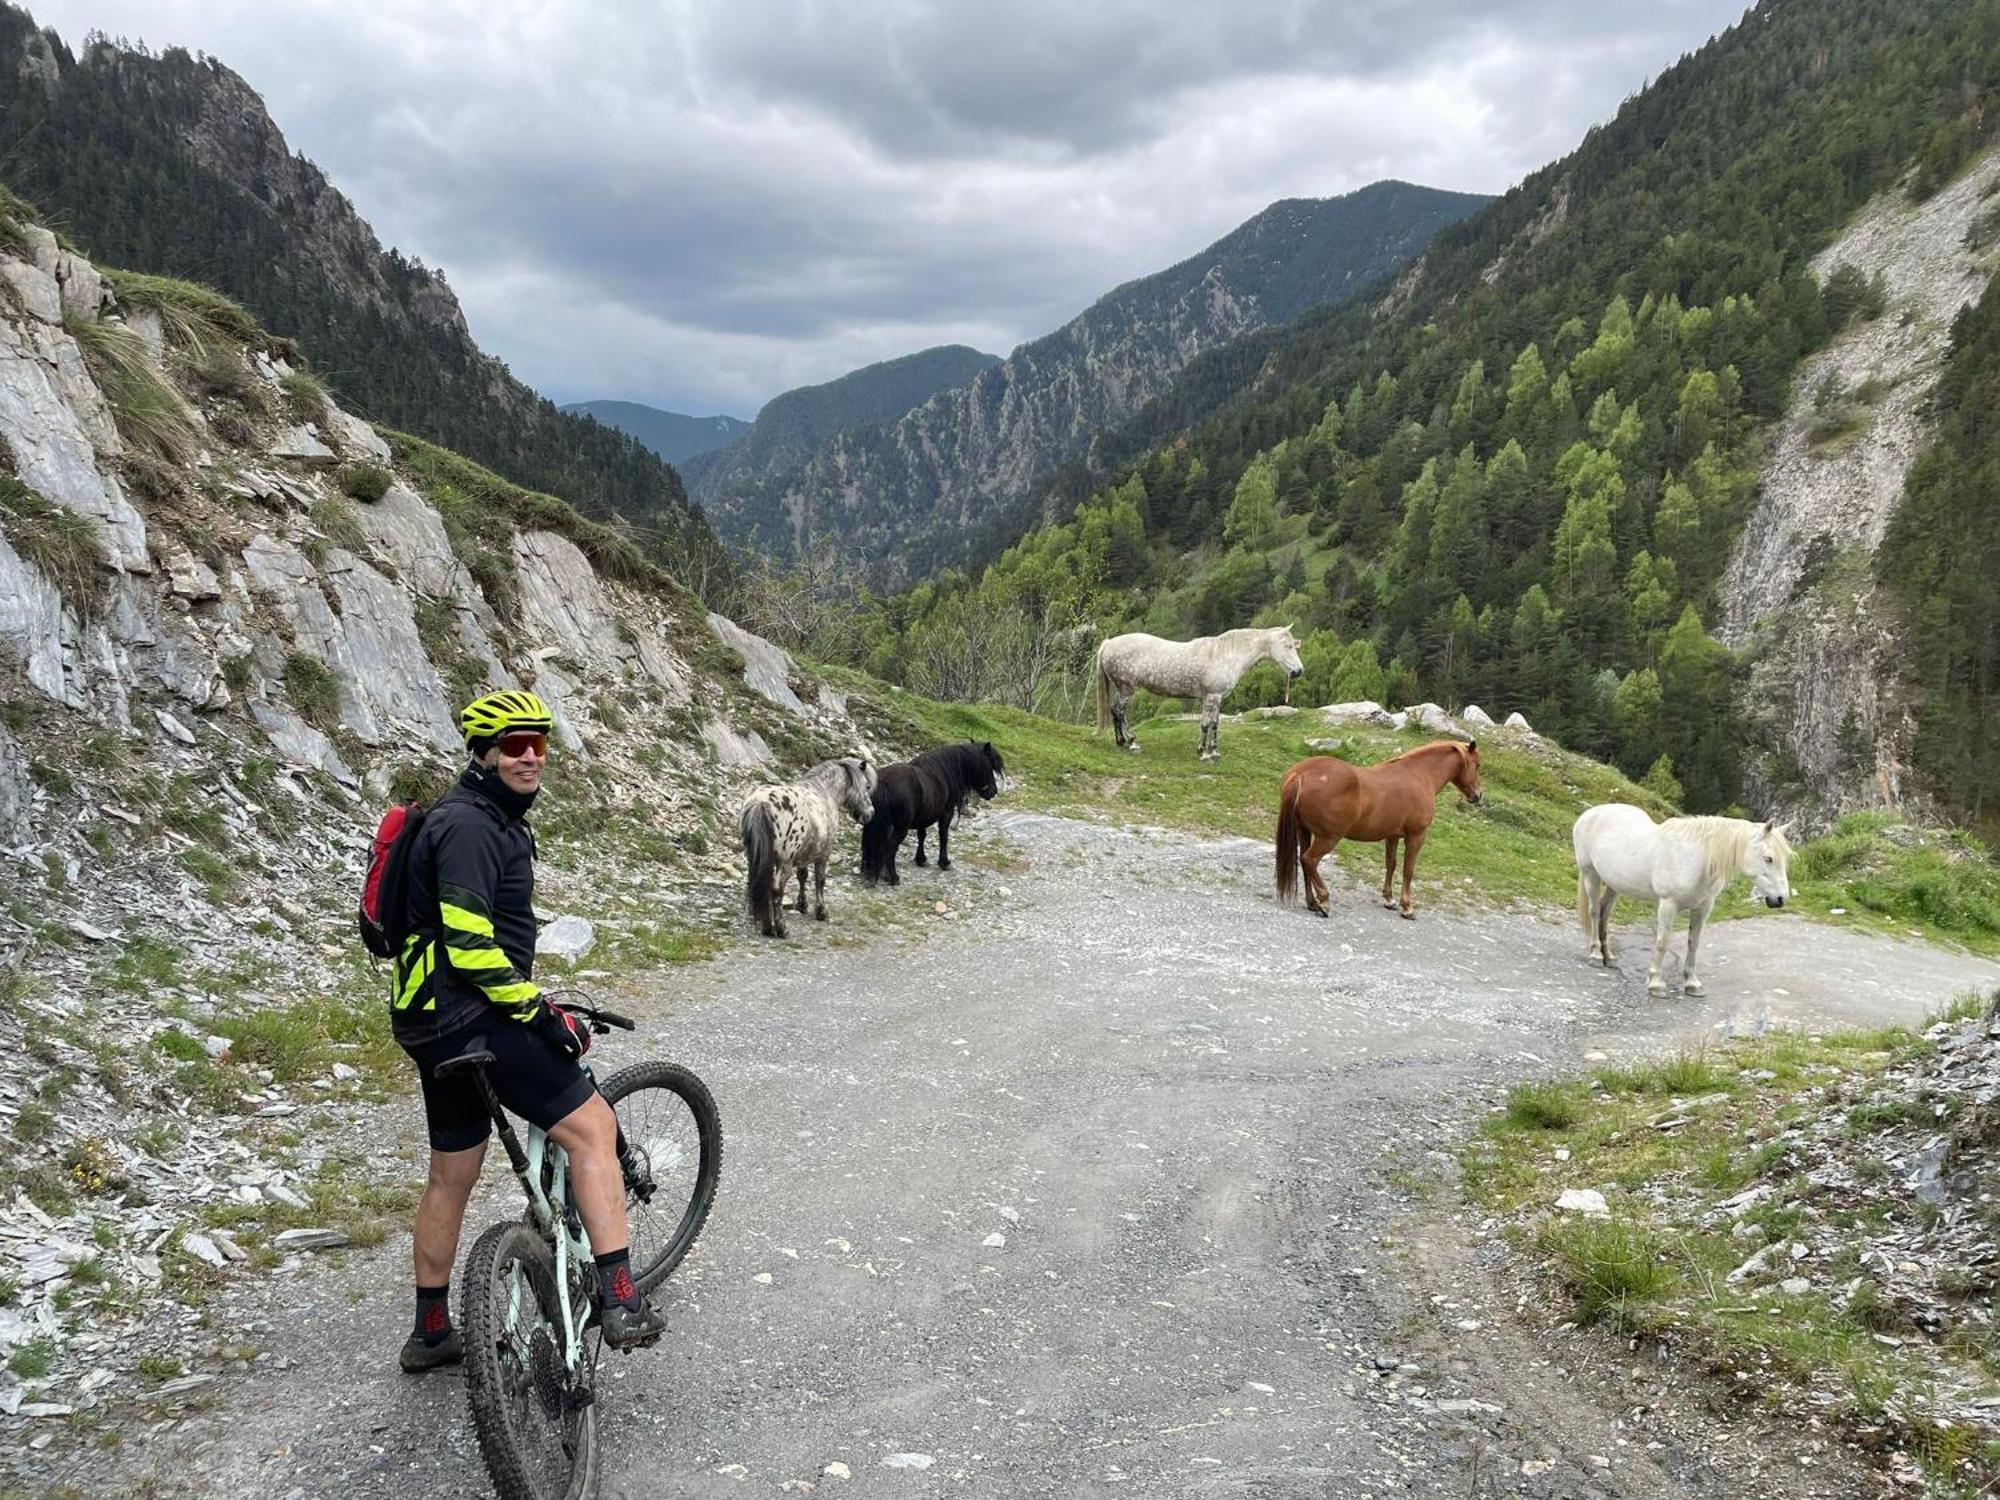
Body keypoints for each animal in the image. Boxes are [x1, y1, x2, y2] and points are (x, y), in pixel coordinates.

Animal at [744, 764, 876, 940]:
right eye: (867, 786)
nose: (870, 813)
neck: (824, 792)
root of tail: (761, 802)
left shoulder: (804, 854)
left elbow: (802, 876)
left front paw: (802, 904)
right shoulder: (823, 854)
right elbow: (820, 881)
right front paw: (821, 912)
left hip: (756, 857)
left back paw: (766, 926)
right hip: (784, 864)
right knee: (776, 890)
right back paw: (781, 928)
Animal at [864, 744, 1008, 888]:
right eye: (988, 766)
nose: (994, 791)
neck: (944, 771)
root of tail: (884, 782)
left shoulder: (924, 815)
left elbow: (922, 836)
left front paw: (921, 859)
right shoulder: (947, 812)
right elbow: (943, 836)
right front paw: (944, 862)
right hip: (901, 828)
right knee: (890, 847)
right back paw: (893, 877)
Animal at [1104, 624, 1304, 764]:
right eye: (1287, 646)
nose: (1298, 671)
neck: (1226, 654)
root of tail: (1108, 644)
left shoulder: (1217, 698)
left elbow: (1215, 723)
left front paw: (1214, 751)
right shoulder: (1211, 697)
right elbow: (1206, 724)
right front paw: (1204, 753)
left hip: (1120, 689)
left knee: (1114, 710)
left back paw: (1120, 741)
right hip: (1127, 690)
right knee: (1121, 712)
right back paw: (1132, 742)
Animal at [1272, 736, 1480, 916]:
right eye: (1477, 765)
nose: (1477, 796)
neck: (1420, 775)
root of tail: (1300, 774)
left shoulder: (1392, 836)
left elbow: (1391, 864)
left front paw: (1389, 899)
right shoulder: (1416, 836)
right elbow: (1408, 869)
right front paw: (1407, 907)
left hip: (1304, 831)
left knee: (1303, 861)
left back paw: (1312, 903)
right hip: (1328, 838)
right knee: (1309, 860)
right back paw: (1324, 900)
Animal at [1576, 804, 1800, 1004]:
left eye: (1785, 859)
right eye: (1768, 858)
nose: (1780, 899)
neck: (1695, 860)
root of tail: (1591, 813)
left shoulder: (1703, 907)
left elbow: (1694, 943)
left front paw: (1692, 984)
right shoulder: (1668, 905)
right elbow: (1662, 942)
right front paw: (1656, 984)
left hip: (1614, 884)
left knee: (1605, 912)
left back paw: (1609, 957)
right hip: (1591, 875)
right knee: (1595, 911)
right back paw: (1596, 955)